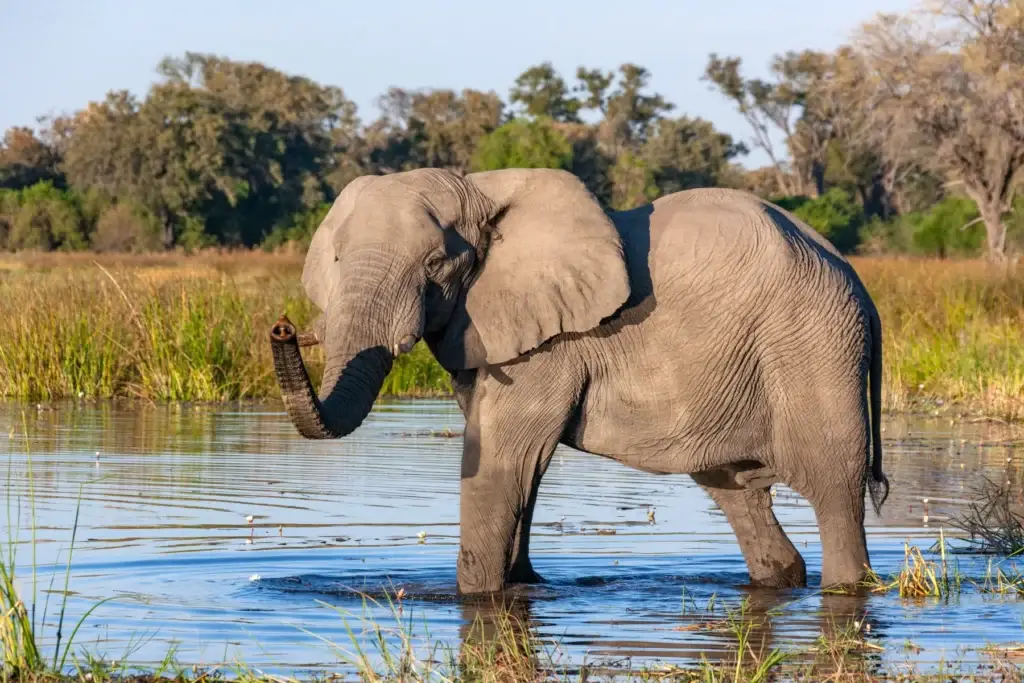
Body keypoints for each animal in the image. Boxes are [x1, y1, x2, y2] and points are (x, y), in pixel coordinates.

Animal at [268, 167, 889, 596]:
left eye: (436, 266)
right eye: (336, 259)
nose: (283, 328)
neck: (479, 190)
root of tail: (857, 280)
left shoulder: (550, 345)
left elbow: (503, 458)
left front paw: (474, 596)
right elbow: (521, 468)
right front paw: (523, 585)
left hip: (814, 347)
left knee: (834, 487)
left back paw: (847, 586)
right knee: (734, 489)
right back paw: (781, 578)